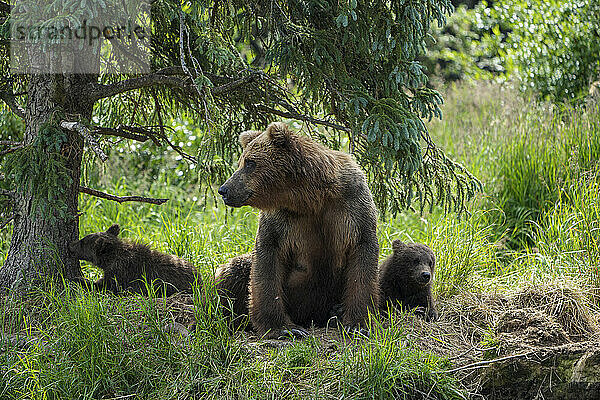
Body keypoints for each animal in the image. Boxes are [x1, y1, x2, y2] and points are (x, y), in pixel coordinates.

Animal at [218, 122, 380, 338]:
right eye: (241, 162)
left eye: (249, 163)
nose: (224, 190)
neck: (310, 198)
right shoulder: (281, 221)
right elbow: (267, 262)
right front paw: (283, 328)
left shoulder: (351, 206)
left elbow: (362, 256)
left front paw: (357, 323)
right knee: (233, 271)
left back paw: (336, 311)